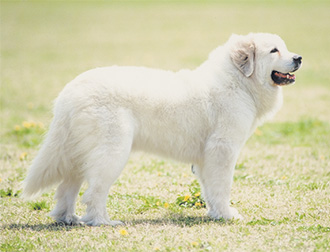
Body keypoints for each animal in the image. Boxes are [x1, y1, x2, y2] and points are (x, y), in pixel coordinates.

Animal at [22, 32, 302, 225]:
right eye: (273, 50)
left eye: (286, 47)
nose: (298, 58)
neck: (238, 81)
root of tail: (70, 92)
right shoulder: (222, 150)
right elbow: (221, 186)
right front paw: (227, 215)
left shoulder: (206, 158)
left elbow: (209, 189)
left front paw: (215, 213)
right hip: (112, 152)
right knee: (94, 192)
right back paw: (102, 221)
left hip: (78, 154)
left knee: (66, 189)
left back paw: (68, 218)